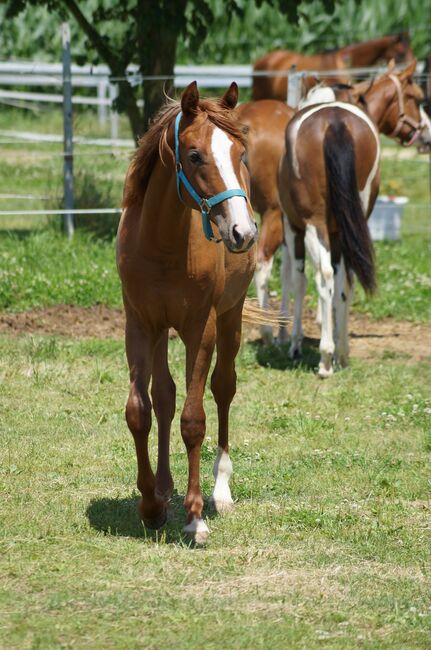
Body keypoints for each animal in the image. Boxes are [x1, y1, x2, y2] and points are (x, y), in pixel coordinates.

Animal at [117, 81, 256, 540]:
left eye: (240, 153)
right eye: (194, 156)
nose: (242, 232)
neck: (161, 245)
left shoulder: (201, 328)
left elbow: (194, 419)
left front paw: (195, 516)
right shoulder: (140, 325)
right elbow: (141, 410)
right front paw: (149, 505)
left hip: (230, 320)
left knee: (223, 389)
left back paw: (220, 491)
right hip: (162, 330)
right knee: (164, 395)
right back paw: (163, 489)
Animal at [280, 60, 426, 378]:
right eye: (417, 97)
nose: (427, 134)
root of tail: (335, 122)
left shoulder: (293, 227)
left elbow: (299, 280)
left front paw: (296, 343)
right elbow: (340, 286)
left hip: (315, 226)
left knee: (324, 276)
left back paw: (325, 359)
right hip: (348, 228)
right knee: (346, 279)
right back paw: (342, 353)